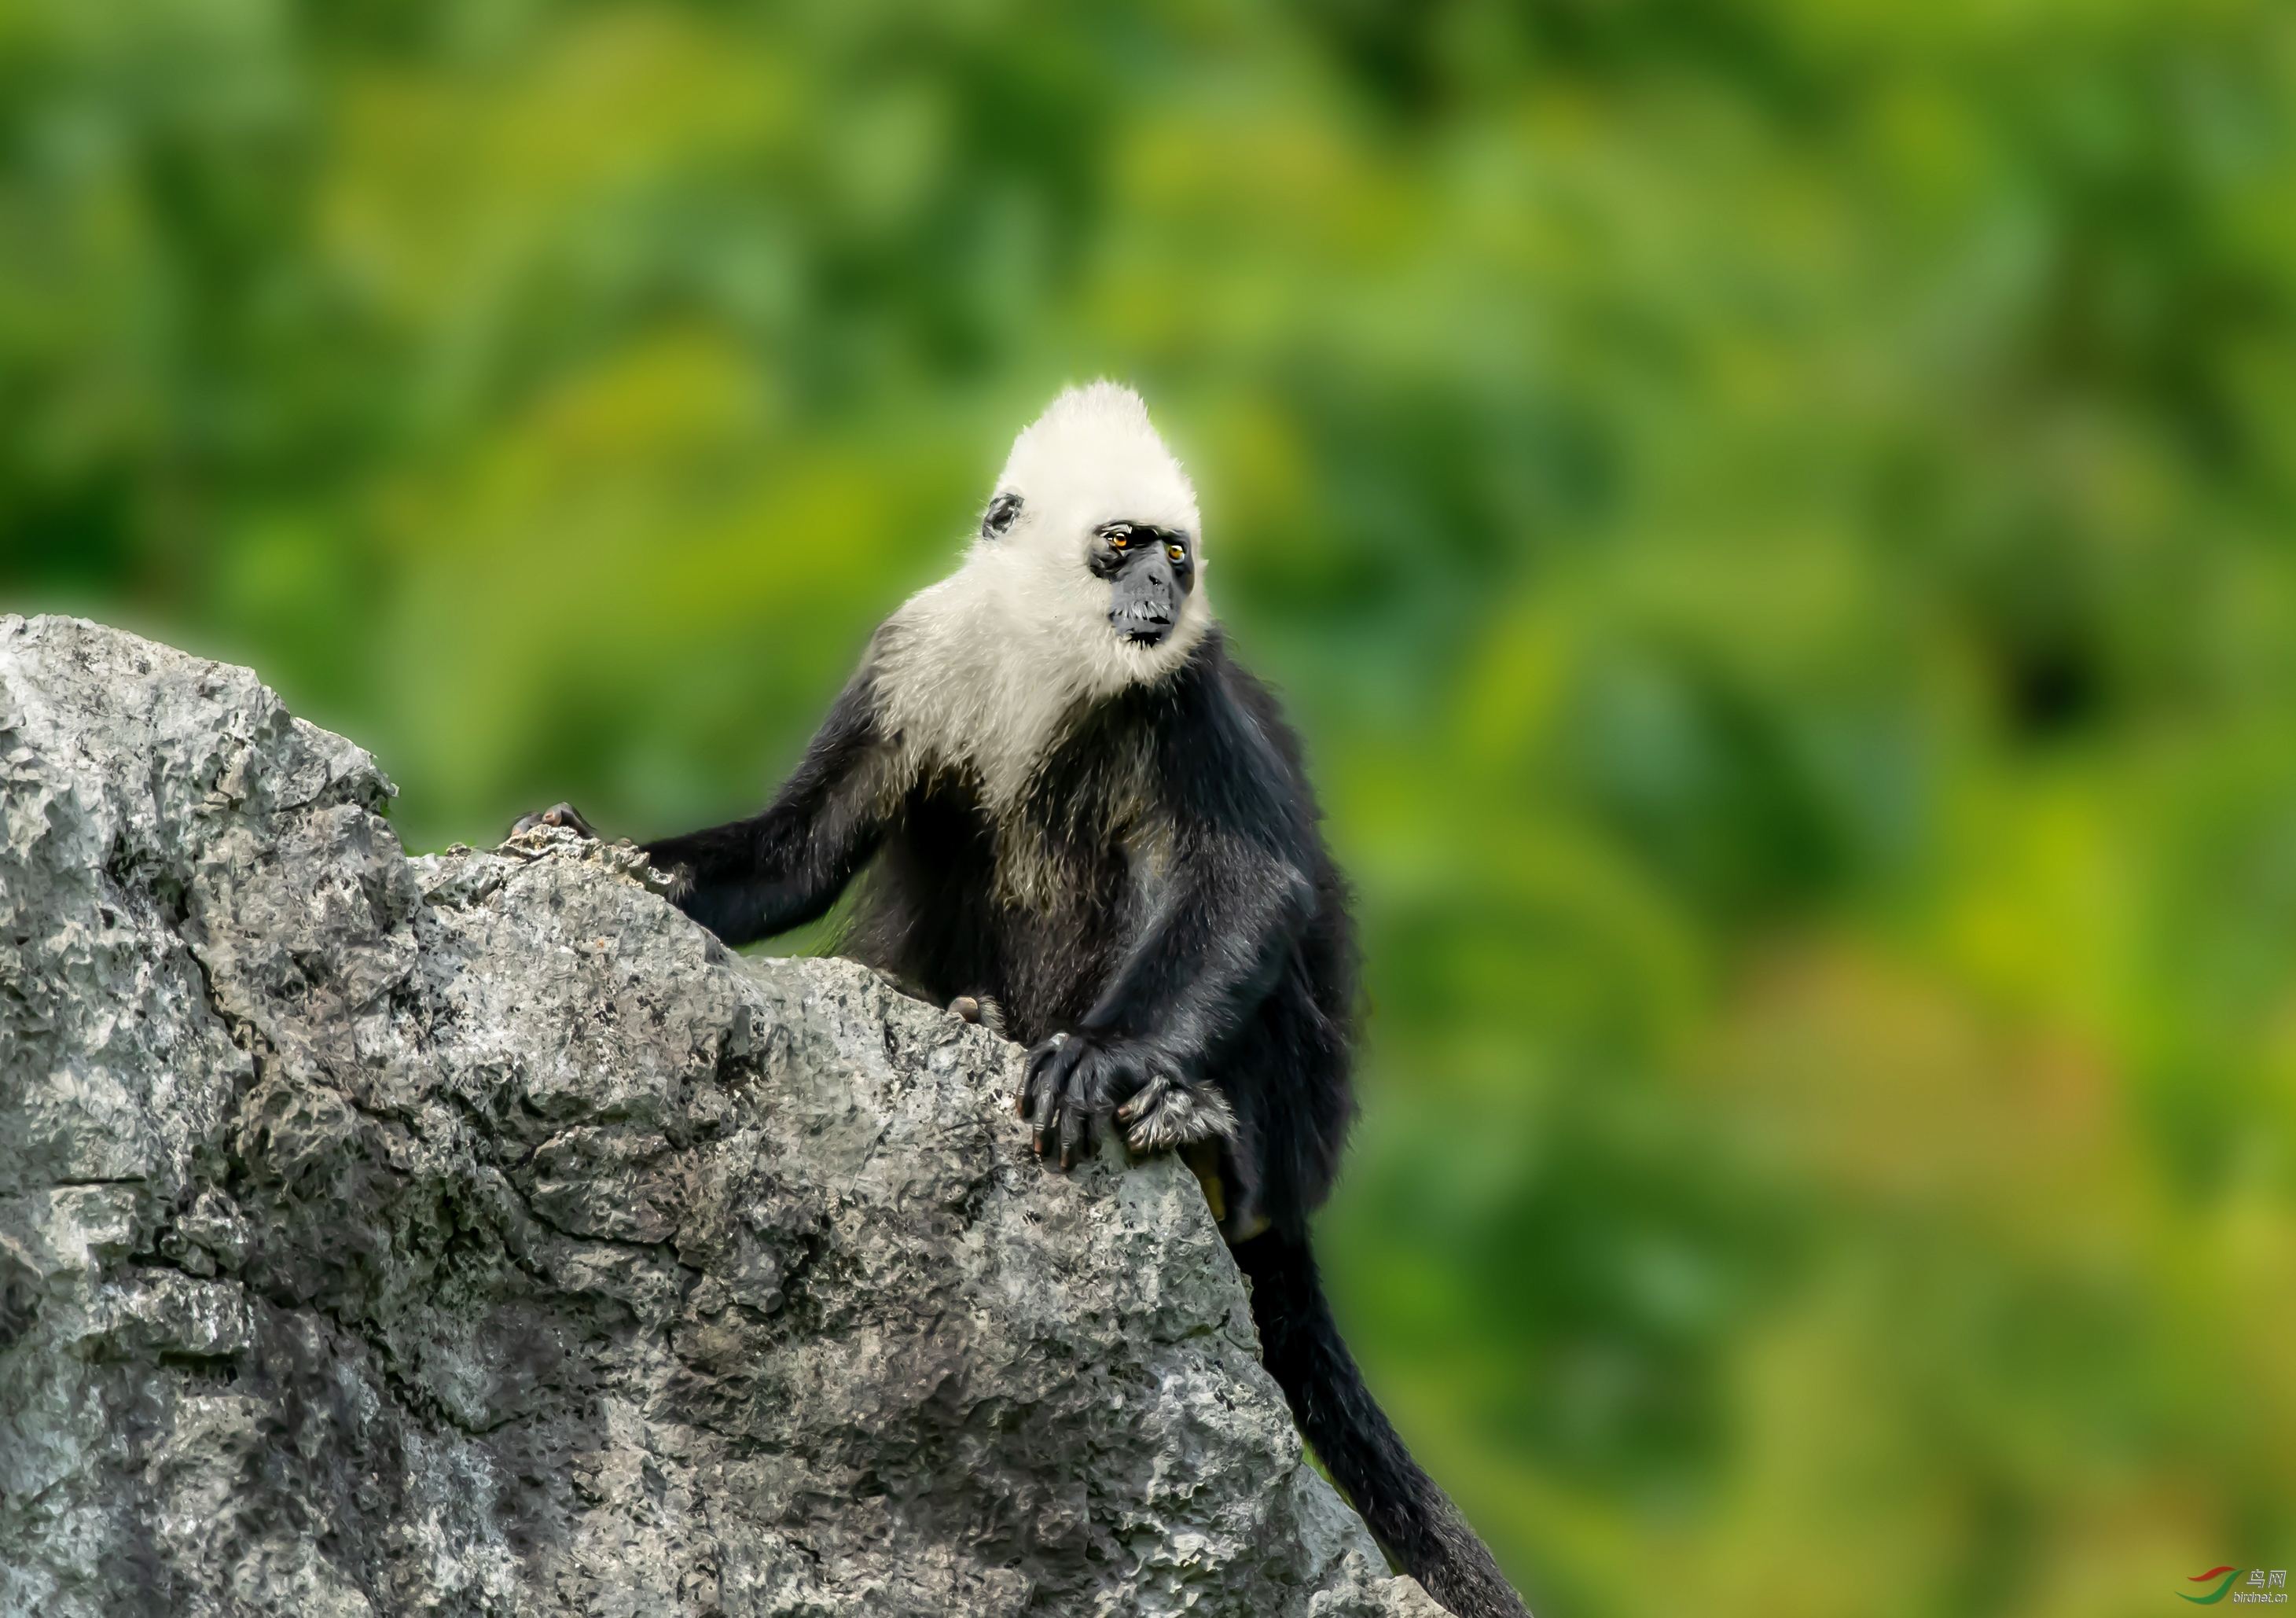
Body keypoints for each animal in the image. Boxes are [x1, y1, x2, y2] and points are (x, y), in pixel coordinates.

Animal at [512, 381, 1534, 1616]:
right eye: (1122, 545)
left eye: (1176, 557)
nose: (1159, 595)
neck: (1050, 653)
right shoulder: (916, 652)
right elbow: (798, 852)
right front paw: (604, 857)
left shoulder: (1179, 692)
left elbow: (1249, 882)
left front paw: (1103, 1056)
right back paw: (979, 1018)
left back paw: (1200, 1137)